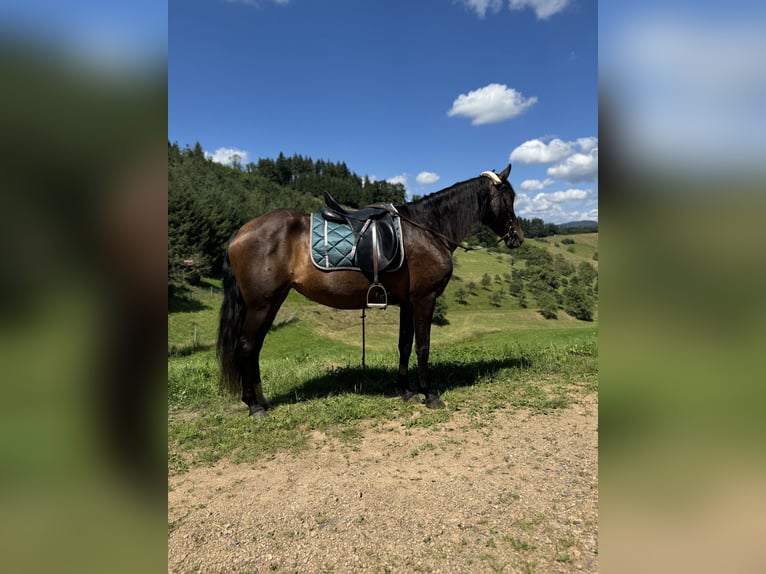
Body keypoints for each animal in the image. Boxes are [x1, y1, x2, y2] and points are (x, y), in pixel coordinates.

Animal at [219, 164, 524, 416]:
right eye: (508, 198)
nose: (518, 237)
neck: (427, 229)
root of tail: (240, 232)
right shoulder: (424, 299)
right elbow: (423, 347)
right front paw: (429, 394)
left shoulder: (408, 303)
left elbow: (405, 345)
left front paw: (406, 391)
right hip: (261, 304)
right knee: (246, 347)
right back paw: (254, 406)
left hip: (271, 302)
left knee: (253, 348)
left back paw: (260, 400)